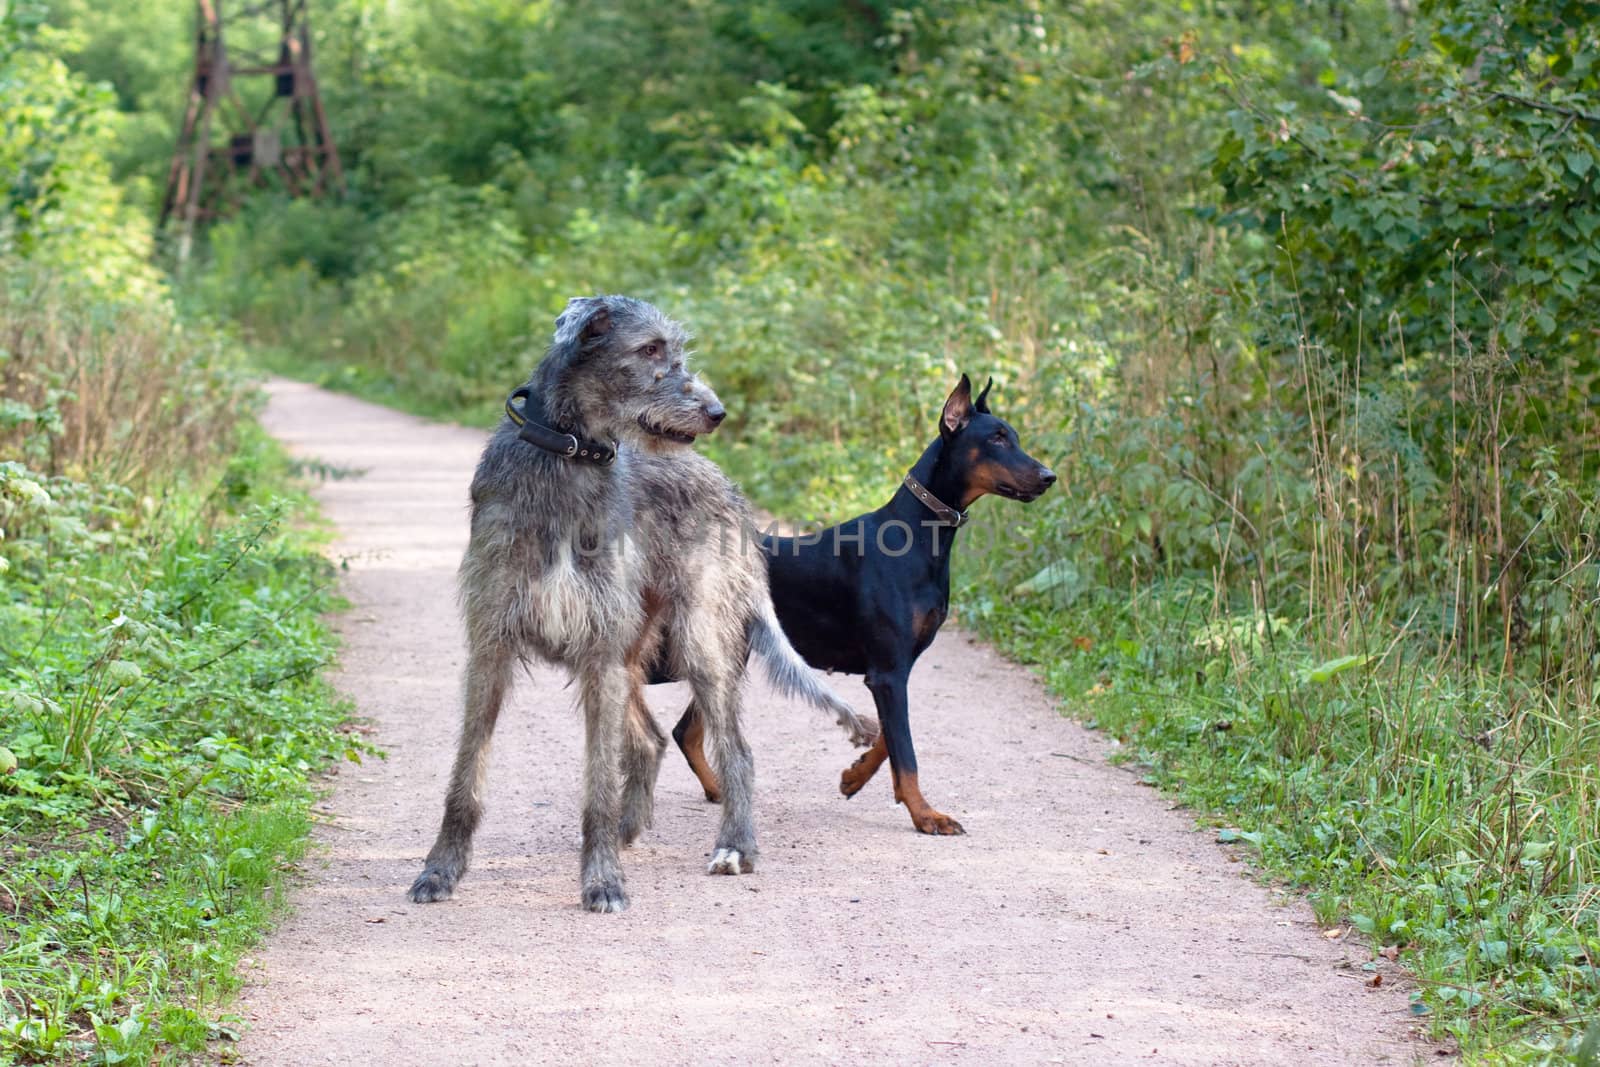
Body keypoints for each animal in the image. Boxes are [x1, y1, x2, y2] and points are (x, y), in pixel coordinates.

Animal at [409, 295, 876, 915]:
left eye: (675, 350)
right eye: (650, 349)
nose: (717, 412)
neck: (571, 458)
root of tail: (730, 488)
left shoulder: (599, 652)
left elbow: (598, 787)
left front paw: (602, 880)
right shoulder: (493, 645)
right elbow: (466, 775)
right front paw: (440, 871)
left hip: (698, 640)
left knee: (736, 751)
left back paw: (734, 846)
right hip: (632, 653)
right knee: (651, 739)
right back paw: (632, 832)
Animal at [668, 375, 1056, 831]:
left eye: (1014, 436)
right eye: (996, 438)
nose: (1049, 476)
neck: (920, 536)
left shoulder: (894, 670)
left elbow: (890, 738)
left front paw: (854, 777)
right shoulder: (888, 672)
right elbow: (906, 751)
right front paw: (926, 815)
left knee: (686, 731)